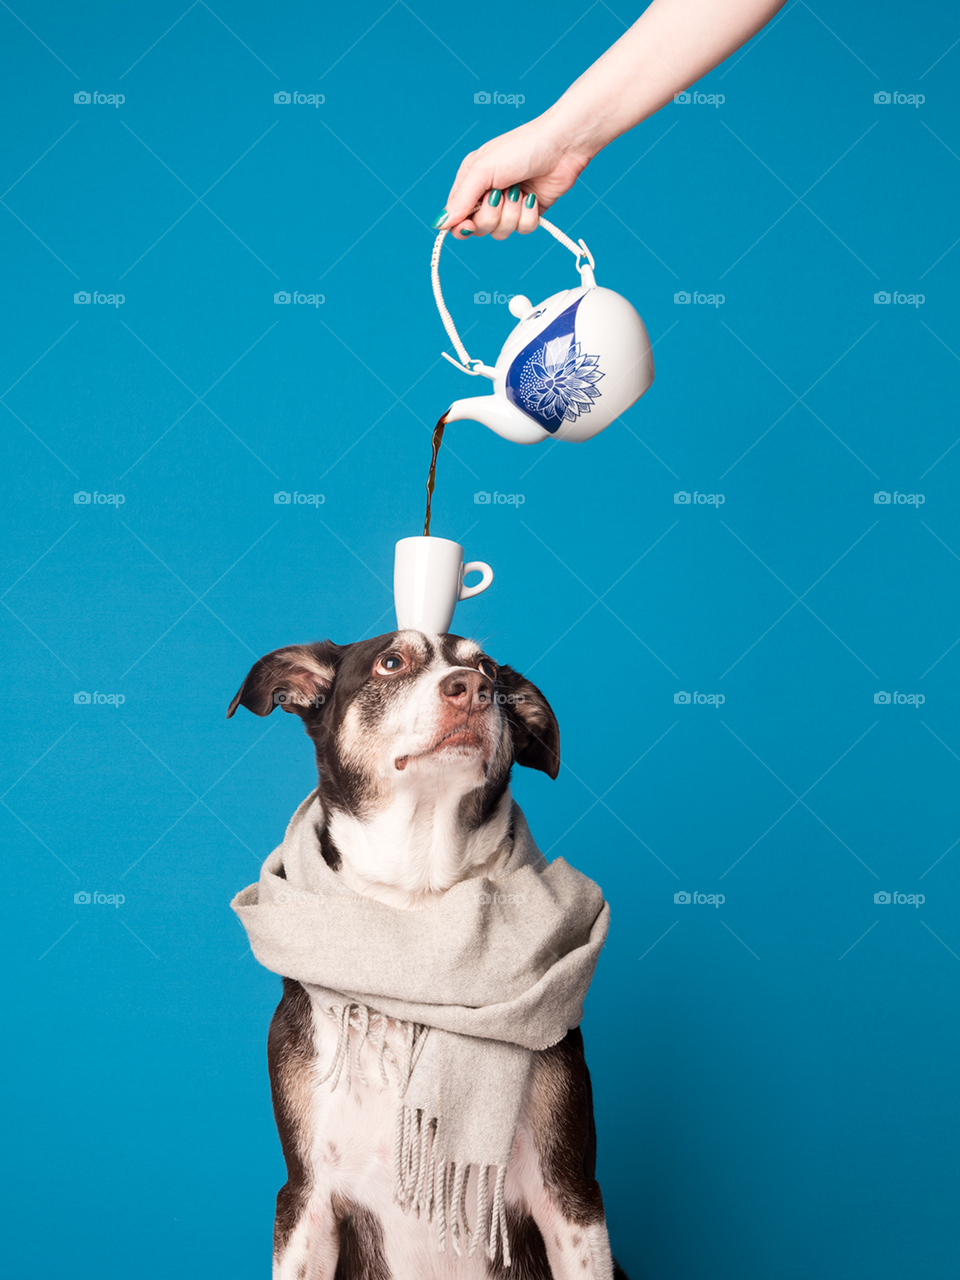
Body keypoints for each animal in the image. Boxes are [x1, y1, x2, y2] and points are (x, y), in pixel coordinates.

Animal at [229, 632, 627, 1280]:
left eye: (488, 668)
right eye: (391, 662)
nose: (473, 687)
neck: (417, 906)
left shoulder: (571, 1195)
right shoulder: (304, 1198)